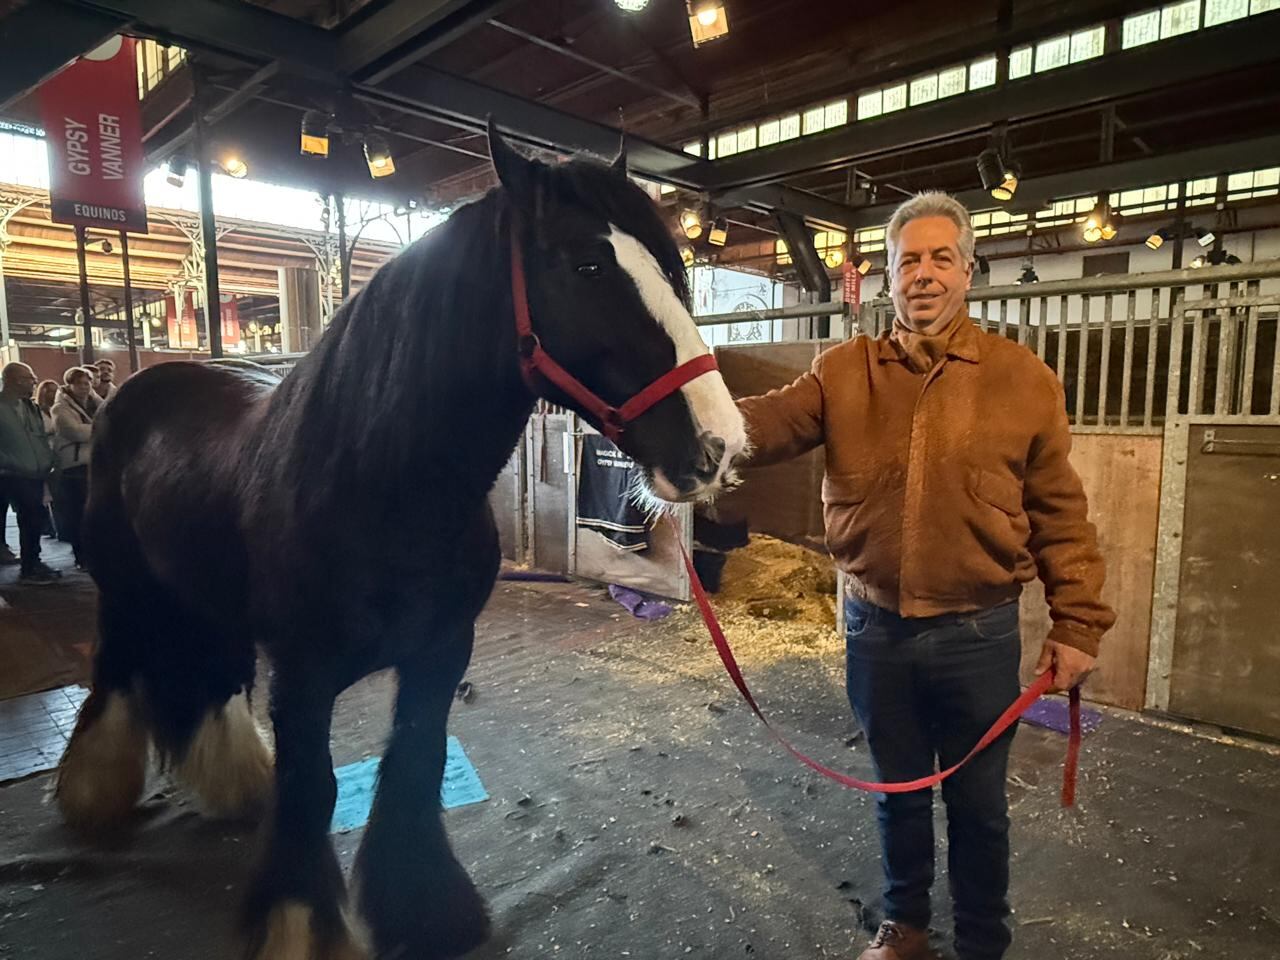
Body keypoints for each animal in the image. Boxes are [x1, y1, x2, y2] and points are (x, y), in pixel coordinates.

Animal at [53, 124, 747, 960]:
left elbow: (416, 763)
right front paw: (301, 925)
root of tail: (139, 389)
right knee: (117, 669)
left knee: (213, 677)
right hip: (122, 587)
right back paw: (94, 793)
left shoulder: (441, 653)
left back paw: (230, 780)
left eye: (674, 267)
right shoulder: (303, 678)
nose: (718, 447)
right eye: (586, 264)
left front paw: (427, 913)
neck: (381, 487)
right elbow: (313, 788)